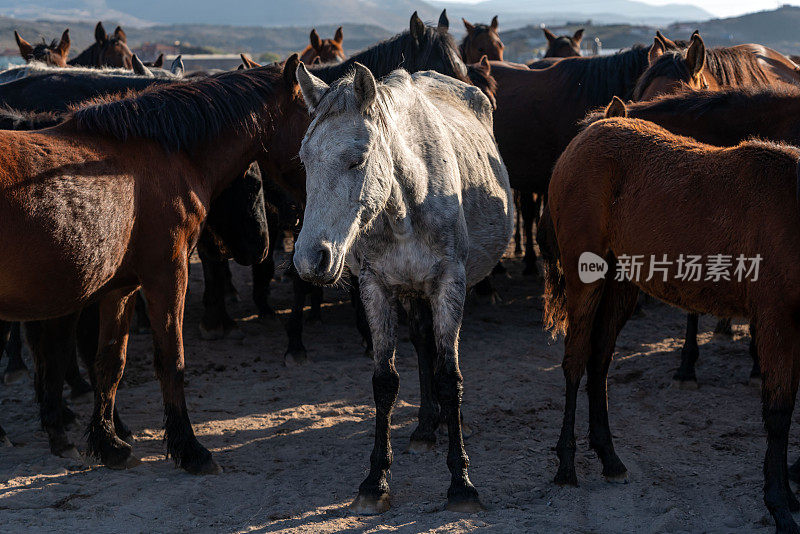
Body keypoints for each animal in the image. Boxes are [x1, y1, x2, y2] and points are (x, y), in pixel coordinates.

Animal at [0, 59, 304, 478]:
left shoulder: (120, 288)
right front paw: (190, 449)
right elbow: (171, 360)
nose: (261, 246)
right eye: (310, 112)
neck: (165, 155)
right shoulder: (168, 274)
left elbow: (109, 363)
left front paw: (109, 445)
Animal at [544, 116, 800, 534]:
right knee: (576, 361)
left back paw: (610, 458)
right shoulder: (776, 322)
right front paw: (780, 506)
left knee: (599, 362)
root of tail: (592, 129)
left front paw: (788, 496)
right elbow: (778, 414)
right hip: (587, 277)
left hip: (620, 283)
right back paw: (566, 465)